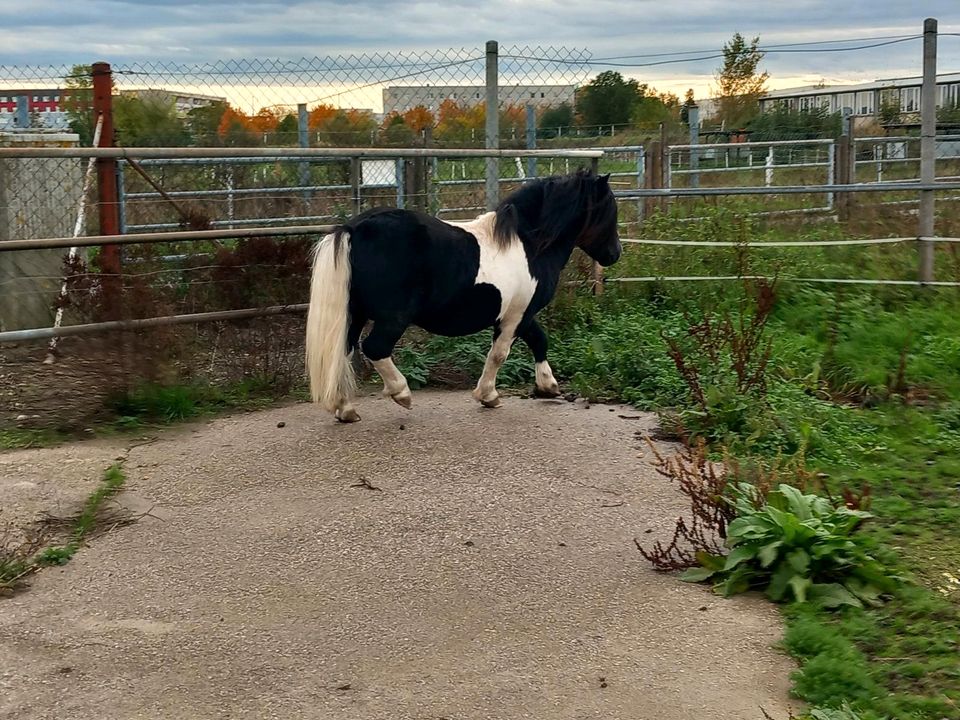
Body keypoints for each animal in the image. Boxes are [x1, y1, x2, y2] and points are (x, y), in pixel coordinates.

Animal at [306, 168, 624, 422]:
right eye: (610, 210)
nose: (614, 254)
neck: (529, 244)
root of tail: (355, 227)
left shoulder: (521, 313)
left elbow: (539, 340)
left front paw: (547, 386)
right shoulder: (515, 316)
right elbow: (500, 354)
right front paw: (489, 395)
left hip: (354, 313)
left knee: (344, 351)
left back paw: (345, 409)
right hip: (392, 318)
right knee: (375, 348)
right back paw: (401, 393)